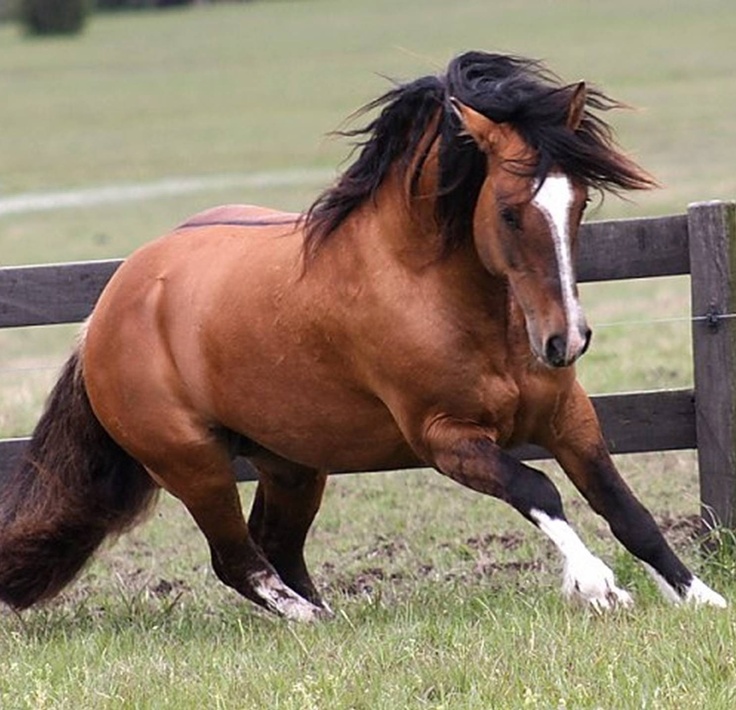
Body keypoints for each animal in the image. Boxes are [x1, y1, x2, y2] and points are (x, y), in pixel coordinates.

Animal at [0, 52, 724, 620]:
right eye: (510, 212)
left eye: (578, 202)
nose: (563, 342)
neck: (444, 298)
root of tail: (106, 310)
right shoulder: (445, 439)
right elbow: (538, 490)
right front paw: (597, 585)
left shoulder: (569, 418)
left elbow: (625, 508)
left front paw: (701, 598)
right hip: (193, 463)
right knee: (238, 559)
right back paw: (312, 619)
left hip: (292, 460)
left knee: (276, 544)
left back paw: (328, 611)